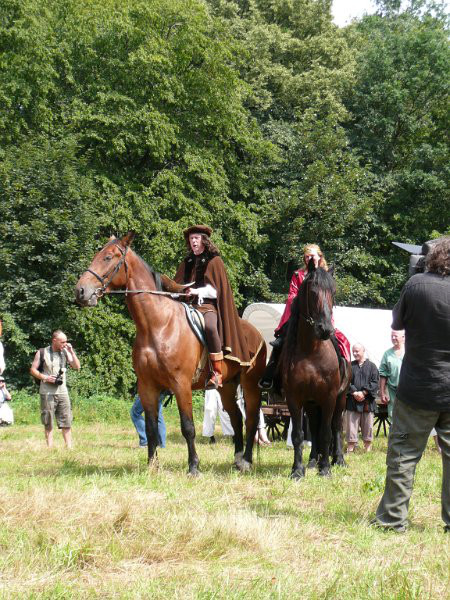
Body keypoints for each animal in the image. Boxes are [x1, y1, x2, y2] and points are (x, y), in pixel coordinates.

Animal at [74, 233, 267, 475]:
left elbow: (188, 427)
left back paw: (247, 460)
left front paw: (193, 466)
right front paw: (152, 465)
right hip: (226, 385)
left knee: (250, 419)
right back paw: (238, 459)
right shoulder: (147, 386)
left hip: (250, 384)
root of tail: (256, 334)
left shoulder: (180, 384)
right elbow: (150, 428)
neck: (157, 324)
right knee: (236, 418)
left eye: (108, 257)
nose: (81, 291)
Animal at [281, 260, 351, 478]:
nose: (325, 329)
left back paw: (338, 459)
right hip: (312, 403)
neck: (311, 352)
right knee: (313, 425)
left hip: (341, 398)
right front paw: (297, 470)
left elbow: (326, 433)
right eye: (312, 291)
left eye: (333, 292)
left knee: (335, 427)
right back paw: (313, 461)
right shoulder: (294, 398)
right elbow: (298, 435)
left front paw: (326, 468)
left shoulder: (329, 397)